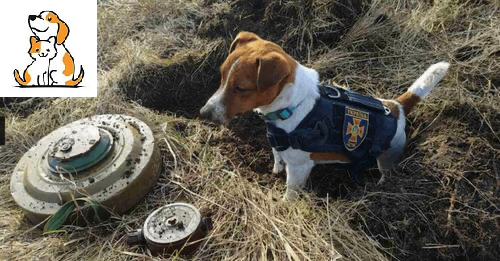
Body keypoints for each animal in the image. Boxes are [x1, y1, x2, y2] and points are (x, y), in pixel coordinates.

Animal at [199, 32, 450, 199]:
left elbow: (291, 191)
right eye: (221, 76)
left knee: (386, 172)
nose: (203, 113)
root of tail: (397, 106)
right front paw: (275, 170)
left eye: (241, 88)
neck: (293, 105)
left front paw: (285, 203)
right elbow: (277, 157)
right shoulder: (278, 144)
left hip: (387, 157)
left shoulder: (299, 168)